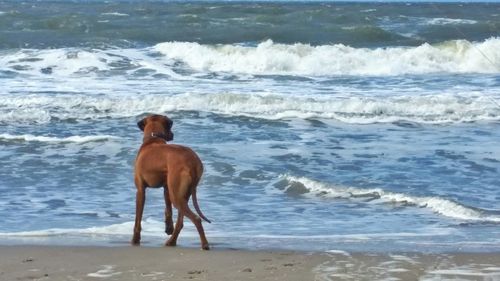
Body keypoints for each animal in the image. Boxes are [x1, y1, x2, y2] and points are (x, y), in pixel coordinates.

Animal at [132, 114, 210, 249]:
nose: (173, 134)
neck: (153, 138)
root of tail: (192, 161)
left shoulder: (140, 190)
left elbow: (138, 219)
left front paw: (135, 240)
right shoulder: (166, 188)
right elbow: (168, 210)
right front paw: (168, 227)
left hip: (176, 196)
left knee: (196, 218)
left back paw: (204, 244)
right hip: (181, 194)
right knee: (180, 221)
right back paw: (171, 241)